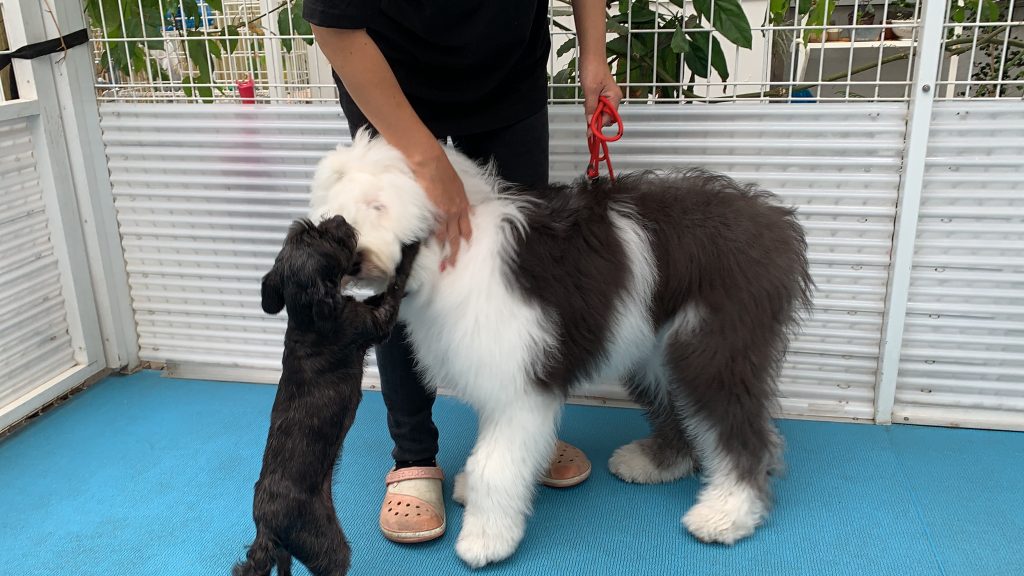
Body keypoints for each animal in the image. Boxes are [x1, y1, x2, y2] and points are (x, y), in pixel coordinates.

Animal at [234, 215, 417, 573]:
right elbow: (395, 286)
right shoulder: (373, 322)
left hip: (287, 551)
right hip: (327, 545)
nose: (339, 218)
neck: (307, 317)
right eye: (326, 238)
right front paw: (411, 248)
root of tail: (266, 526)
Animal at [307, 129, 811, 565]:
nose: (353, 259)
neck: (448, 261)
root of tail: (774, 221)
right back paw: (656, 462)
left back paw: (727, 513)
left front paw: (486, 539)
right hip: (656, 350)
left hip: (713, 347)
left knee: (740, 432)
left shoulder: (519, 388)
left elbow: (494, 465)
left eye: (378, 206)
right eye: (339, 220)